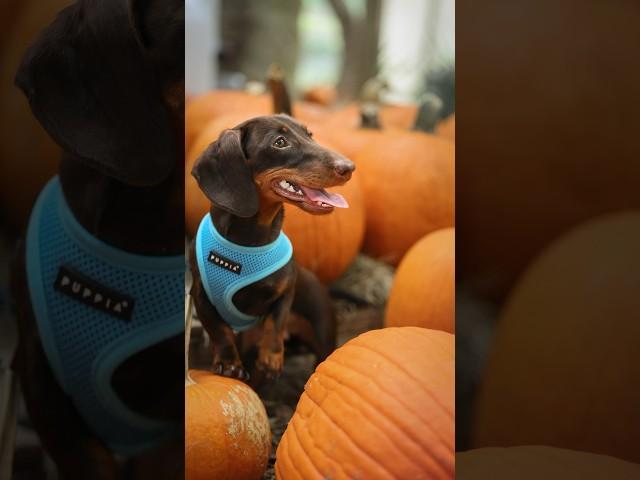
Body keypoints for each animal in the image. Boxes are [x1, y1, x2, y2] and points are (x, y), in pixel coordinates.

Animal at [190, 112, 356, 382]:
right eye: (280, 142)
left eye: (310, 135)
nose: (349, 167)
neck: (248, 243)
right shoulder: (200, 298)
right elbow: (218, 331)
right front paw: (228, 362)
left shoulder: (285, 291)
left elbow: (276, 321)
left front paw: (271, 356)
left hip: (323, 335)